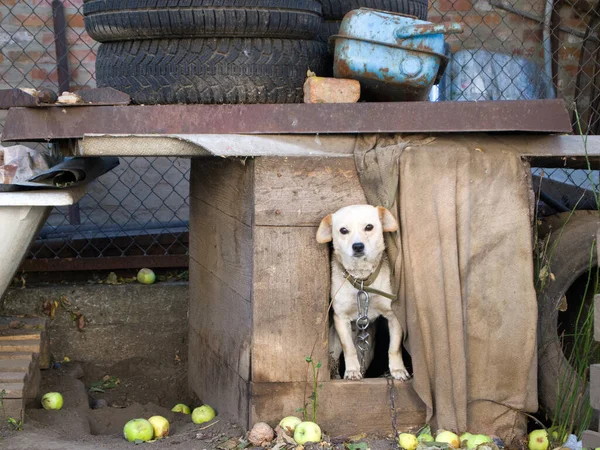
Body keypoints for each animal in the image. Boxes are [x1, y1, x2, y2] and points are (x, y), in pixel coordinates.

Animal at [316, 206, 410, 382]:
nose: (358, 246)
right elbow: (349, 349)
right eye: (343, 230)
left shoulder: (393, 315)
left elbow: (394, 347)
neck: (362, 281)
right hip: (334, 342)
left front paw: (398, 370)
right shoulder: (341, 318)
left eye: (369, 227)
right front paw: (352, 371)